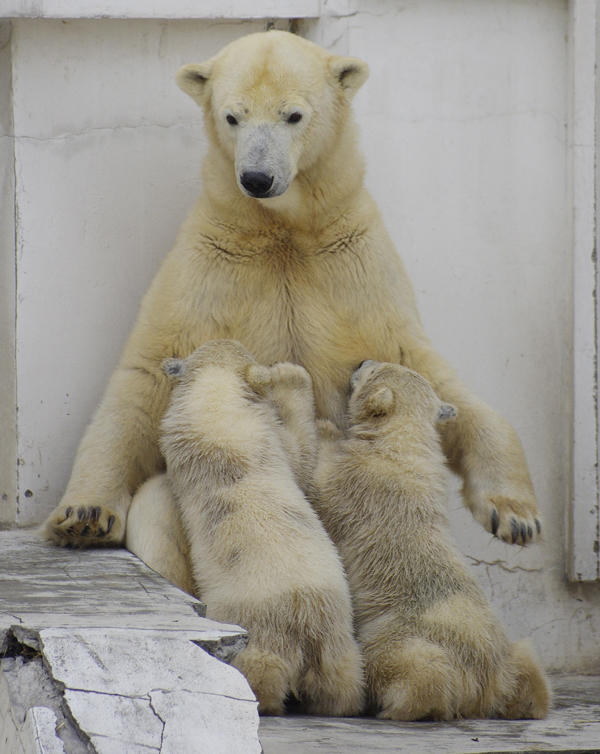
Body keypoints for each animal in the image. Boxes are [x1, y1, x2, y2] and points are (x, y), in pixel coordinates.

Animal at [41, 30, 540, 548]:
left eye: (293, 115)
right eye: (233, 116)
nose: (258, 178)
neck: (282, 229)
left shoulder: (354, 267)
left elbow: (420, 366)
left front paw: (514, 514)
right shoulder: (214, 262)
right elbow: (147, 373)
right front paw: (84, 514)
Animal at [155, 338, 364, 712]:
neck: (215, 409)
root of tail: (302, 628)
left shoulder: (257, 437)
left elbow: (300, 461)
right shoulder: (263, 440)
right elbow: (301, 459)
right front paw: (289, 374)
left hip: (322, 623)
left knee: (338, 675)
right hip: (275, 623)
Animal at [316, 362, 552, 720]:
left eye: (374, 369)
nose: (359, 363)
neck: (404, 448)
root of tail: (482, 685)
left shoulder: (361, 482)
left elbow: (323, 481)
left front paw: (323, 427)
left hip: (398, 633)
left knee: (414, 665)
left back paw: (396, 705)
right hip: (508, 657)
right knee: (528, 662)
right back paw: (531, 700)